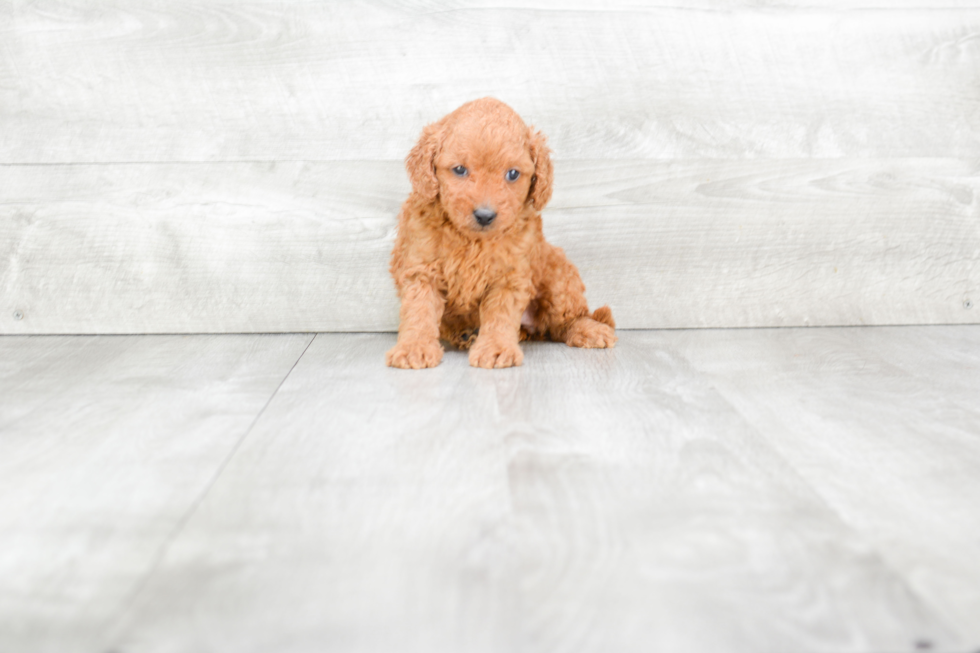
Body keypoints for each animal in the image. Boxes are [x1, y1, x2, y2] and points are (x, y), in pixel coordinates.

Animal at [386, 99, 616, 370]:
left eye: (513, 174)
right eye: (460, 170)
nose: (485, 215)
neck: (472, 240)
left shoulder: (509, 276)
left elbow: (500, 314)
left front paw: (495, 349)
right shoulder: (422, 270)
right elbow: (419, 311)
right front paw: (414, 348)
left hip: (558, 278)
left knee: (564, 322)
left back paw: (589, 330)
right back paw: (468, 334)